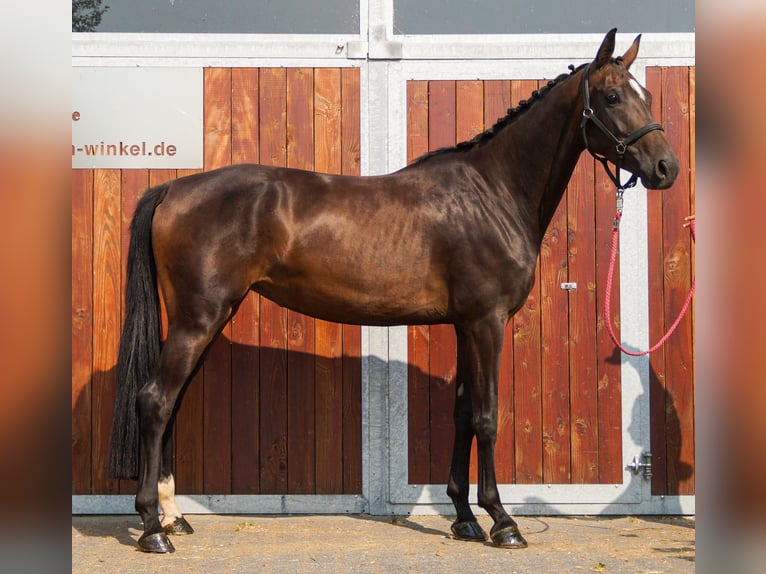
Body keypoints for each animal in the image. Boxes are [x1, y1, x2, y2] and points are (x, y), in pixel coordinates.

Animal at [108, 28, 679, 553]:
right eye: (612, 96)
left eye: (647, 97)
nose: (666, 168)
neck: (492, 193)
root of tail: (174, 188)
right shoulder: (486, 322)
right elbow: (488, 416)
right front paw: (502, 522)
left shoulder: (464, 325)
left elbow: (463, 414)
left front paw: (464, 519)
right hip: (198, 320)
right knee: (156, 401)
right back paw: (153, 529)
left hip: (205, 320)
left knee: (172, 403)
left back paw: (174, 517)